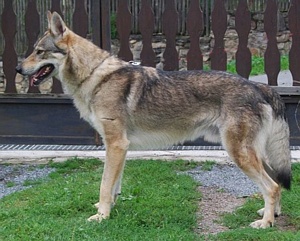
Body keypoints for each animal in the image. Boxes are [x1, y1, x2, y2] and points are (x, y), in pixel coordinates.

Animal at [15, 11, 290, 230]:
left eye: (39, 52)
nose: (18, 69)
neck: (95, 76)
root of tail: (258, 86)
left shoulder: (115, 144)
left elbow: (104, 184)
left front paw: (101, 217)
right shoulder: (120, 147)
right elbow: (114, 185)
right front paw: (109, 209)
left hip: (238, 153)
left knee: (272, 187)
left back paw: (265, 223)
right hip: (253, 154)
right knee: (277, 182)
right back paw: (272, 214)